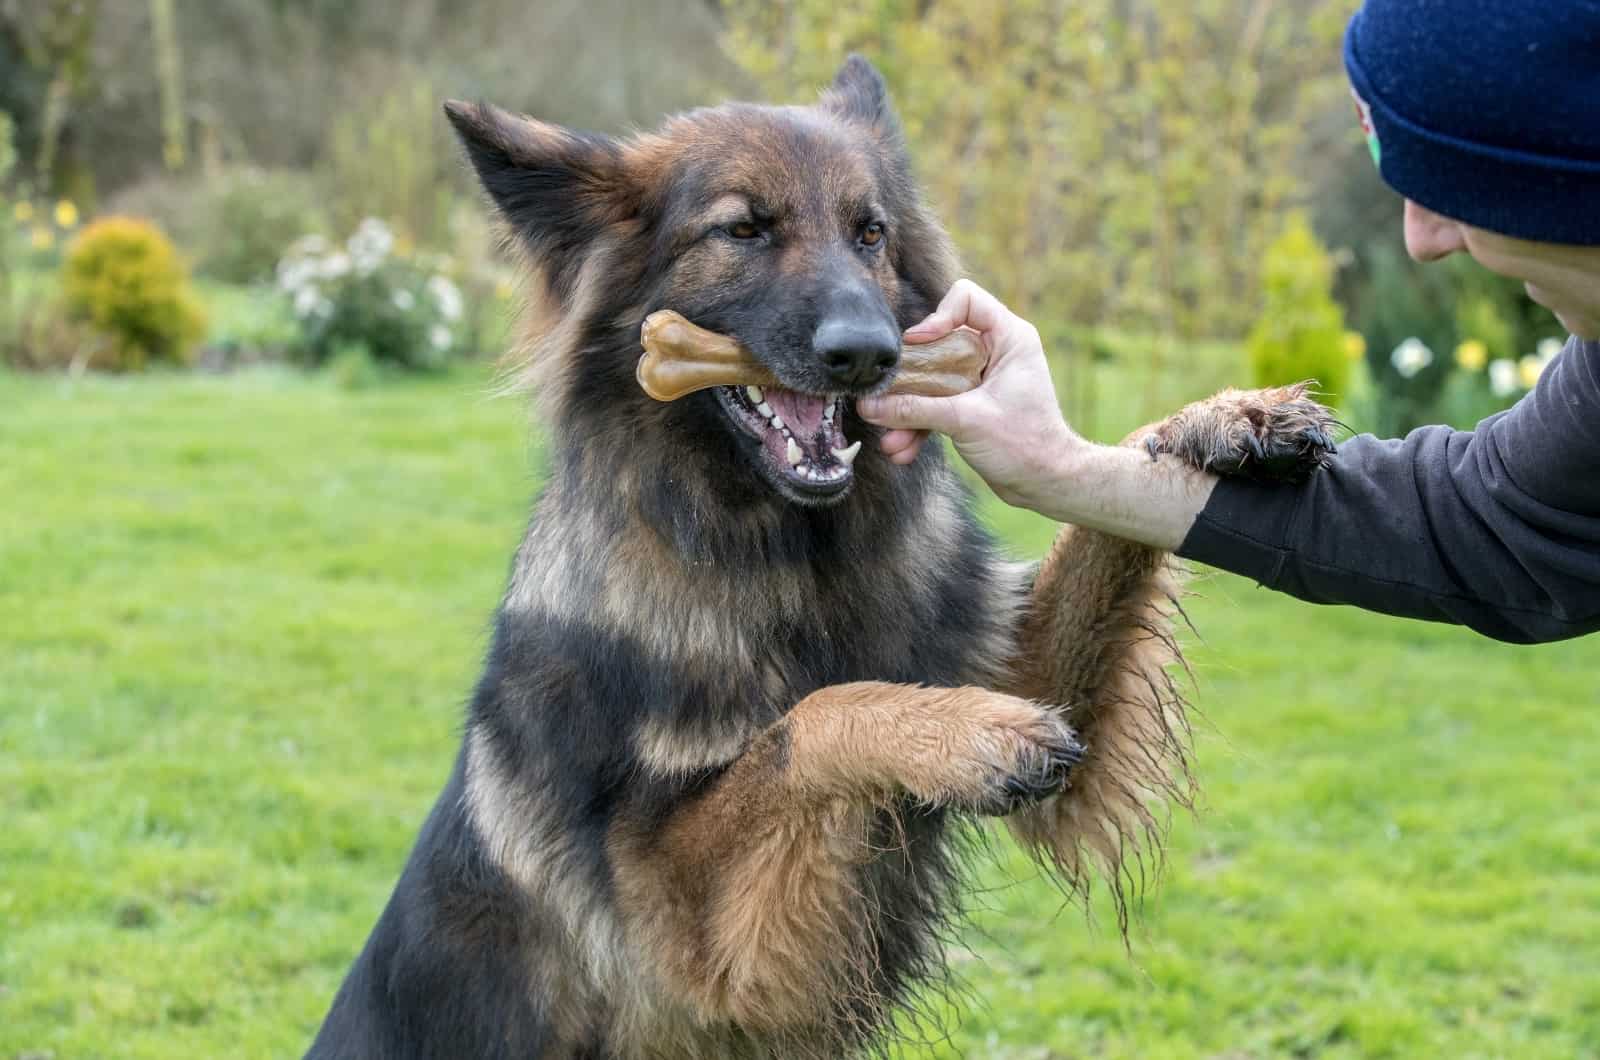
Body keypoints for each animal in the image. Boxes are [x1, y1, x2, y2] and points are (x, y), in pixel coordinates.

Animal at [305, 56, 1331, 1060]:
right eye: (744, 229)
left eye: (870, 233)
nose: (868, 354)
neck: (793, 564)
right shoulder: (682, 938)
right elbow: (810, 717)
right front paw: (966, 734)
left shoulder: (1020, 670)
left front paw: (1218, 417)